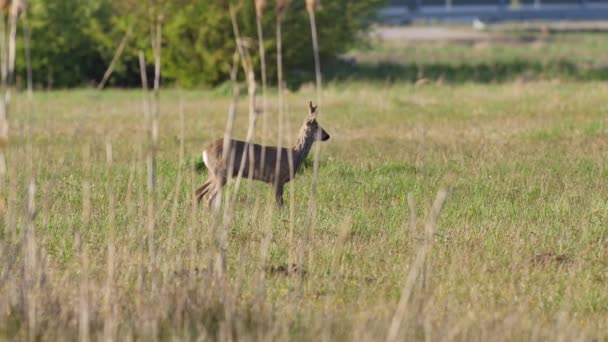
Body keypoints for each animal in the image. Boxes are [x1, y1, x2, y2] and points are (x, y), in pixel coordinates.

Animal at [196, 101, 330, 208]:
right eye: (317, 126)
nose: (327, 135)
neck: (294, 156)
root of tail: (205, 152)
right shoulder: (277, 178)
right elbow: (280, 204)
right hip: (221, 172)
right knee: (208, 196)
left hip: (213, 173)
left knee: (198, 191)